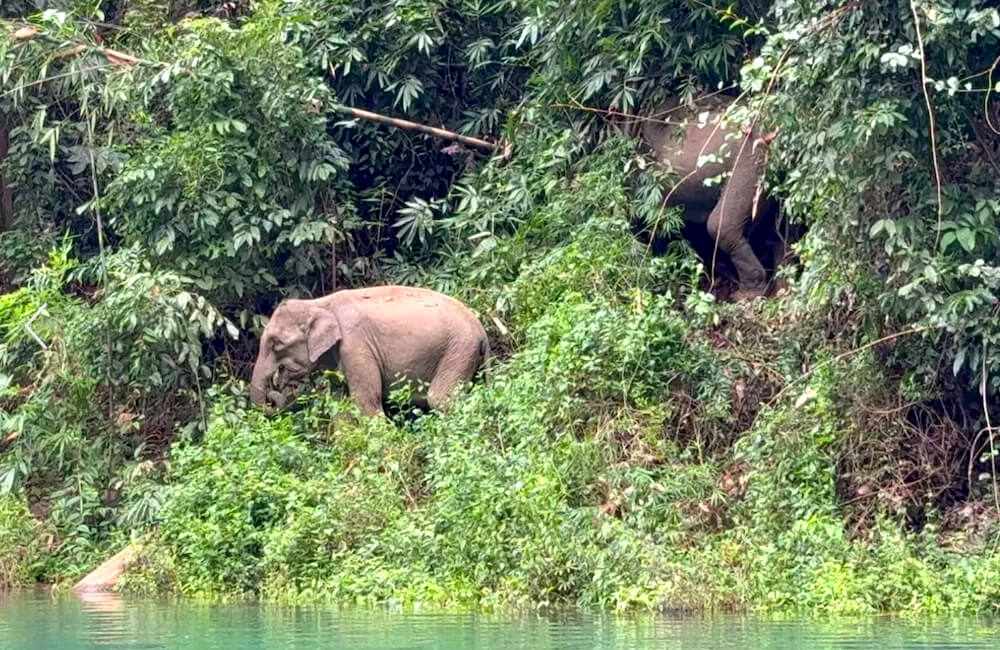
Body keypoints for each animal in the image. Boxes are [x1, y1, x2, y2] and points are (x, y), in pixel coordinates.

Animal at [249, 285, 490, 416]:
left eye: (276, 343)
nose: (274, 394)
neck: (318, 302)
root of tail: (482, 332)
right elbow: (340, 404)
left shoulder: (355, 345)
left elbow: (366, 402)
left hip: (458, 350)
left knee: (440, 399)